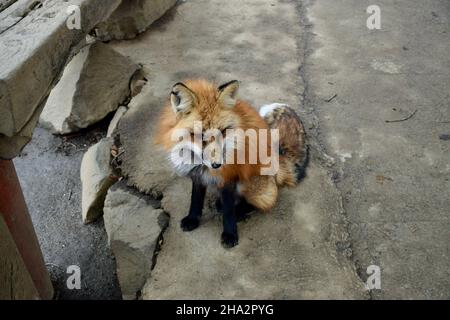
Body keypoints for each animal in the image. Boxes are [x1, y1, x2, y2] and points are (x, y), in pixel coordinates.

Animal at [154, 79, 306, 248]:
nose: (217, 165)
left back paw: (239, 211)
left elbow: (228, 210)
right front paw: (193, 219)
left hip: (249, 183)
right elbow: (196, 198)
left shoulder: (229, 176)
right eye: (200, 135)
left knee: (267, 199)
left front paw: (230, 234)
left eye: (222, 131)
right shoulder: (197, 176)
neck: (201, 165)